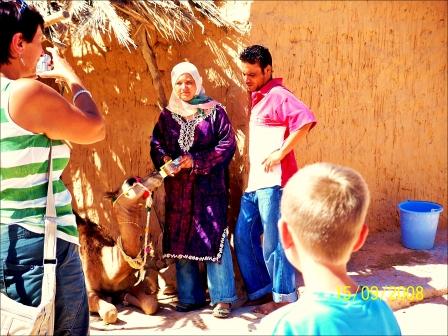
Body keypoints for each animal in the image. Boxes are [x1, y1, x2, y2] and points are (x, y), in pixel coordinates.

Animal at [76, 172, 165, 324]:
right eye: (131, 181)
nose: (156, 173)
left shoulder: (128, 284)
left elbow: (151, 304)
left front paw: (124, 299)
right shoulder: (89, 289)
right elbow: (110, 312)